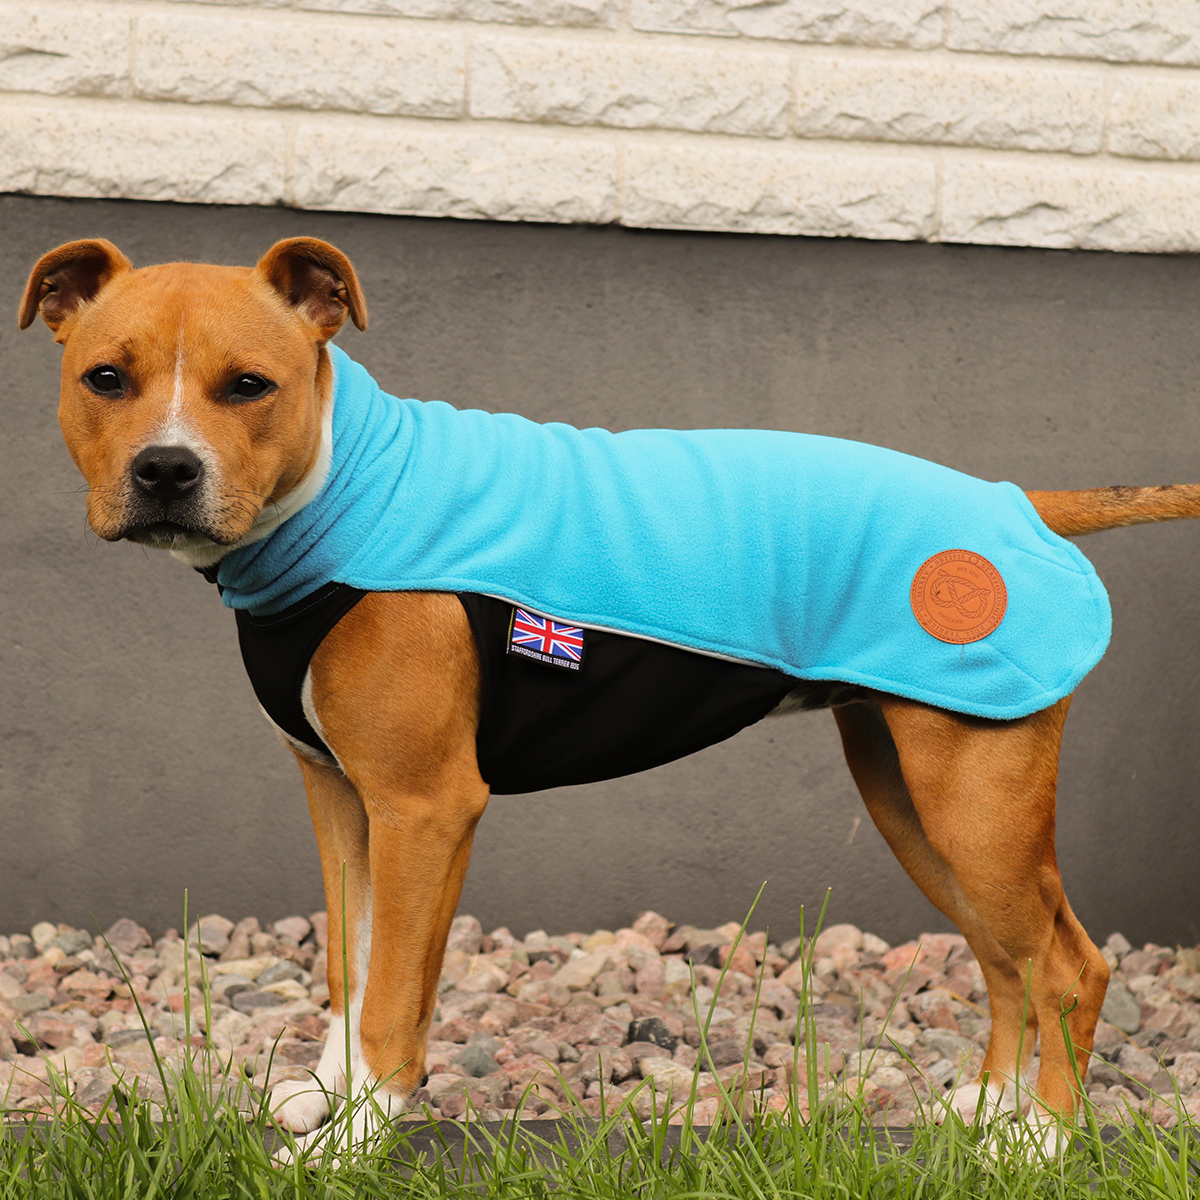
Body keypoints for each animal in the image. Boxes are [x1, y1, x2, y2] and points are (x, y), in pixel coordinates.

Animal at [18, 236, 1200, 1152]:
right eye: (105, 379)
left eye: (249, 386)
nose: (166, 470)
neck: (345, 489)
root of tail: (1018, 504)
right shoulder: (344, 803)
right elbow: (355, 970)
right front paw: (330, 1096)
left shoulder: (423, 809)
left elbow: (396, 993)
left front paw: (357, 1139)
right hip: (918, 800)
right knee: (1007, 958)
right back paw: (993, 1112)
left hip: (975, 803)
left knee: (1068, 964)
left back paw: (1043, 1141)